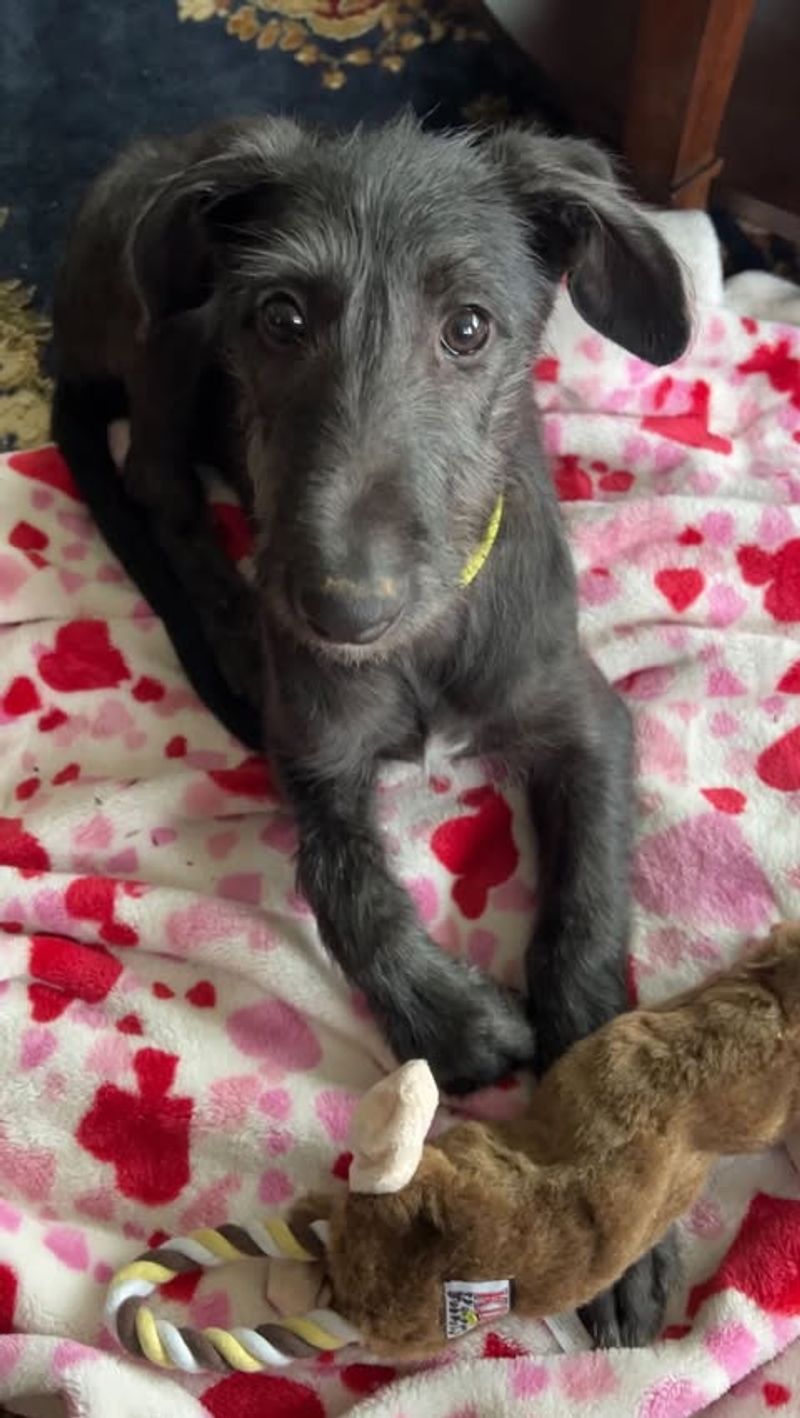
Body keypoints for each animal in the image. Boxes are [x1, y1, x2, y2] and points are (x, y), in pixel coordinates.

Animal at [51, 116, 686, 1344]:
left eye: (469, 327)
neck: (425, 647)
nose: (340, 610)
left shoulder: (585, 716)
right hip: (168, 329)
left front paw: (611, 1183)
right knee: (155, 480)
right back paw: (223, 610)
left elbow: (582, 914)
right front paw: (449, 1016)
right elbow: (340, 878)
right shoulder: (315, 752)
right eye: (279, 317)